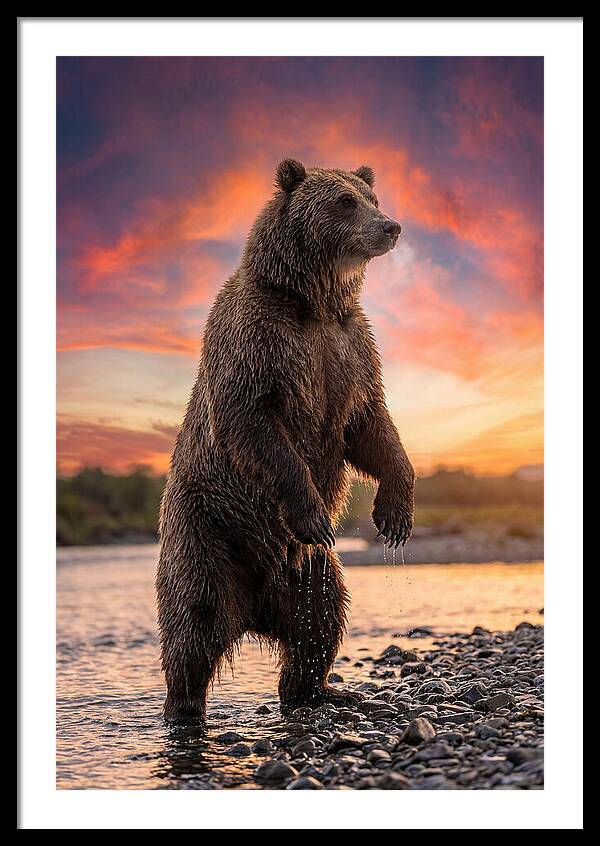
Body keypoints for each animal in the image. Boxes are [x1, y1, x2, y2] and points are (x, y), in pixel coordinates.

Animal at [156, 159, 415, 727]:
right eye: (344, 201)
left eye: (371, 196)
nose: (390, 227)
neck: (313, 302)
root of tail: (254, 609)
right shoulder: (260, 342)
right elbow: (255, 424)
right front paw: (315, 512)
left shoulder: (350, 350)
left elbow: (372, 427)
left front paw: (395, 514)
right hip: (208, 530)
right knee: (194, 622)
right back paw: (184, 710)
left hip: (309, 572)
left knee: (321, 619)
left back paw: (323, 691)